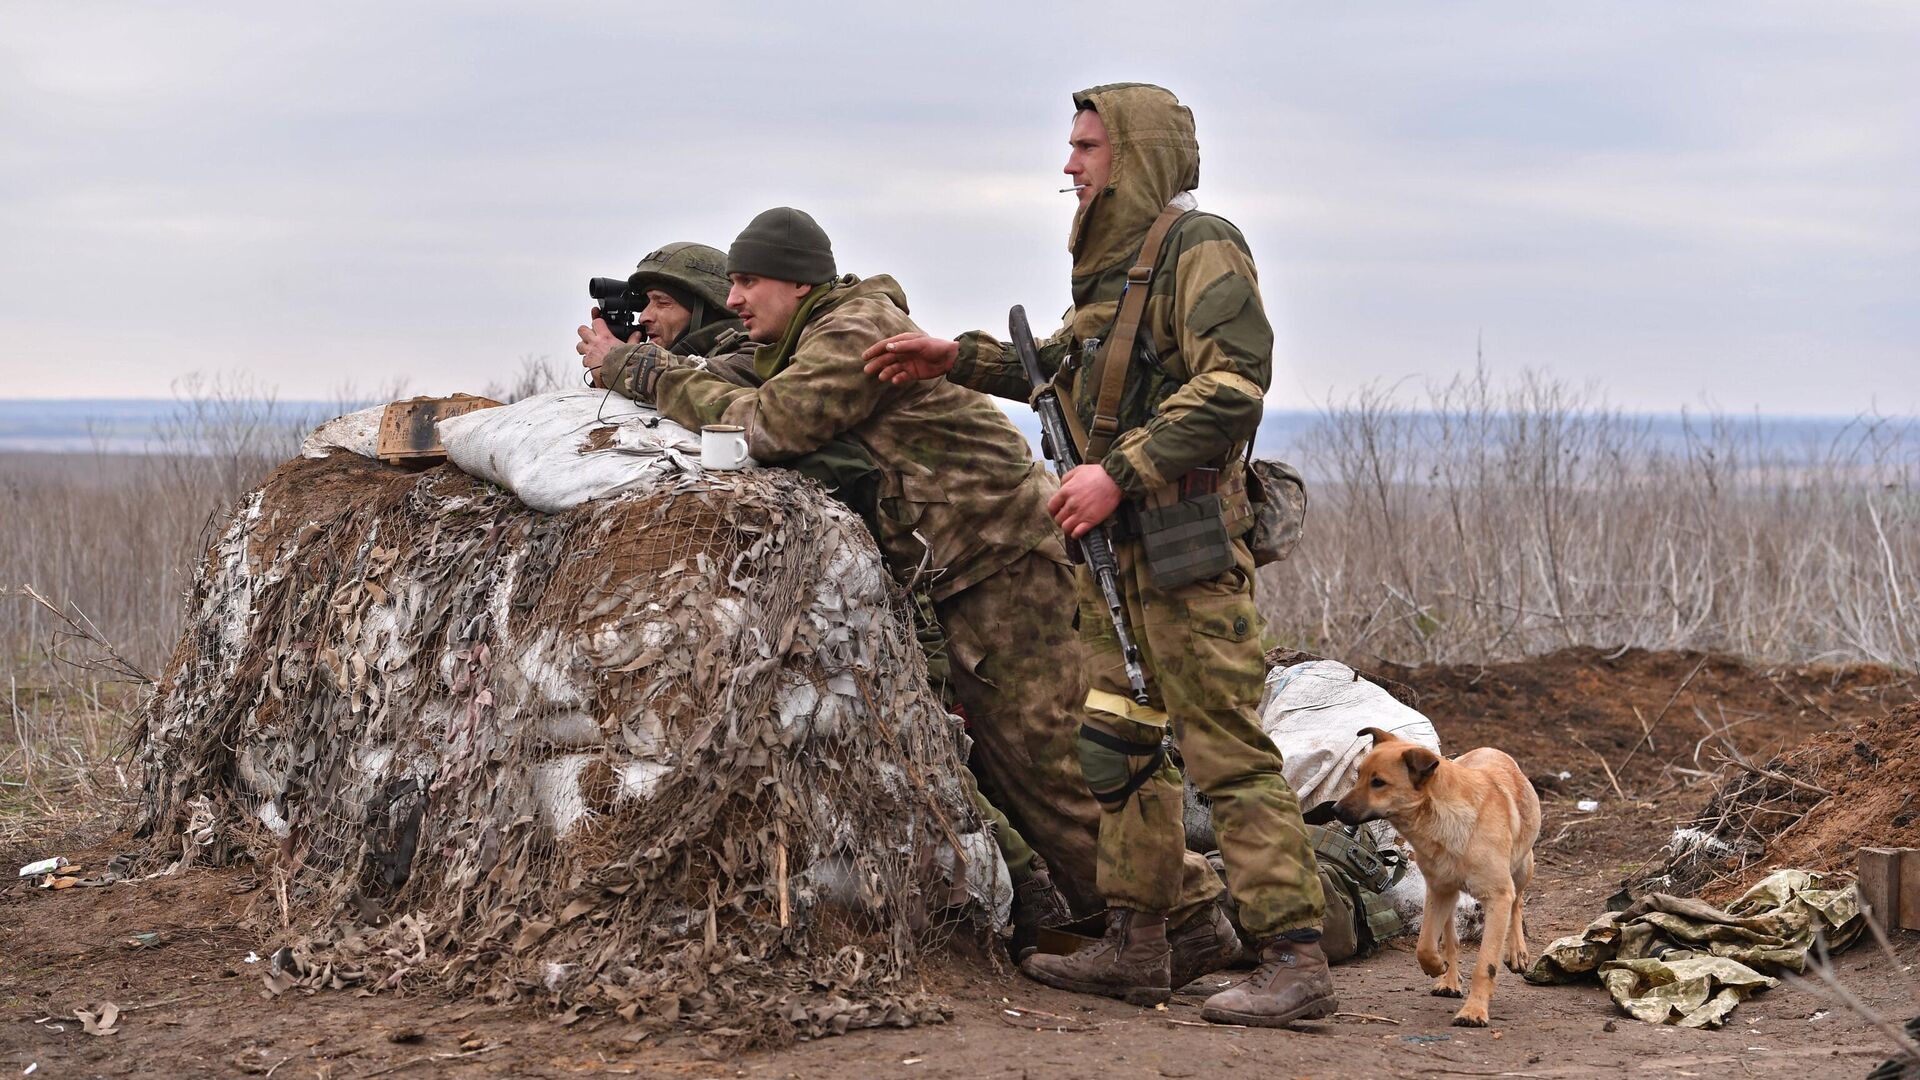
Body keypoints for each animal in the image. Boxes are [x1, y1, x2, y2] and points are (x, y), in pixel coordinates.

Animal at [1336, 726, 1543, 1022]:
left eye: (1378, 782)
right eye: (1358, 776)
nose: (1334, 810)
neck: (1443, 817)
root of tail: (1490, 749)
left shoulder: (1498, 896)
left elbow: (1486, 963)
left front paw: (1474, 1011)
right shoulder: (1438, 890)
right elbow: (1425, 946)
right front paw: (1437, 967)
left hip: (1523, 867)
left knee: (1518, 901)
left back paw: (1516, 952)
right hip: (1449, 894)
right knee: (1451, 938)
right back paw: (1450, 980)